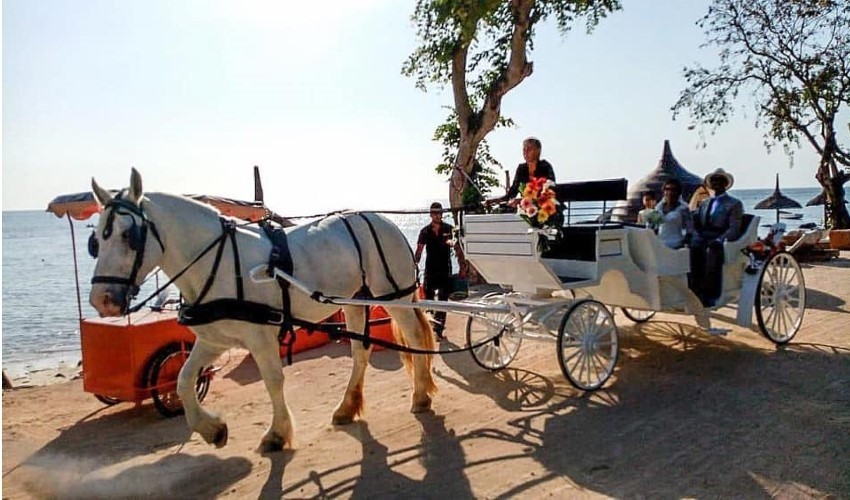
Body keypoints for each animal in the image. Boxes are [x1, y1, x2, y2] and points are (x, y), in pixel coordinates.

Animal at [90, 170, 438, 452]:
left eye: (128, 235)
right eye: (95, 240)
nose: (102, 299)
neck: (218, 262)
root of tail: (384, 220)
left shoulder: (260, 338)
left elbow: (273, 380)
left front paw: (277, 433)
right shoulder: (214, 339)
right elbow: (183, 379)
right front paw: (212, 429)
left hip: (395, 297)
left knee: (414, 336)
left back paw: (421, 395)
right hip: (353, 301)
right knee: (360, 351)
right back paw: (347, 407)